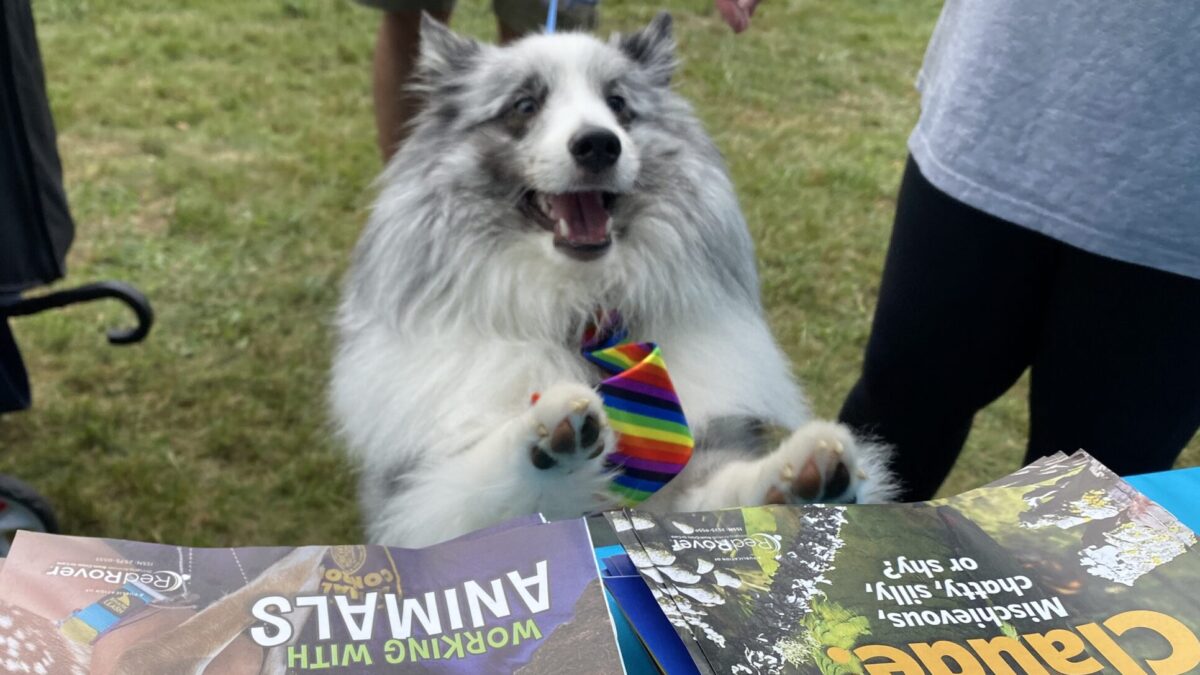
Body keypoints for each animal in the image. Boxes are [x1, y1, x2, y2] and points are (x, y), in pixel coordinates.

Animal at [333, 13, 897, 547]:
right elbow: (484, 489)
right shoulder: (422, 504)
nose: (599, 145)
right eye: (524, 105)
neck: (582, 315)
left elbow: (726, 491)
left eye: (619, 104)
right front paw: (546, 429)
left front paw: (800, 473)